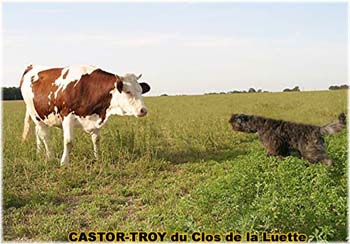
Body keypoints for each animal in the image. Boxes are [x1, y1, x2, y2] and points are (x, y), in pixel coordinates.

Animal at [19, 64, 150, 166]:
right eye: (128, 92)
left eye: (140, 91)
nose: (143, 110)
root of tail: (31, 67)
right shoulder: (67, 115)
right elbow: (68, 141)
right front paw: (64, 163)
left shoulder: (96, 118)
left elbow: (96, 139)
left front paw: (97, 158)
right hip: (34, 113)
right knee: (45, 135)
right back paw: (50, 157)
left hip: (40, 116)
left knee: (38, 133)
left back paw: (39, 152)